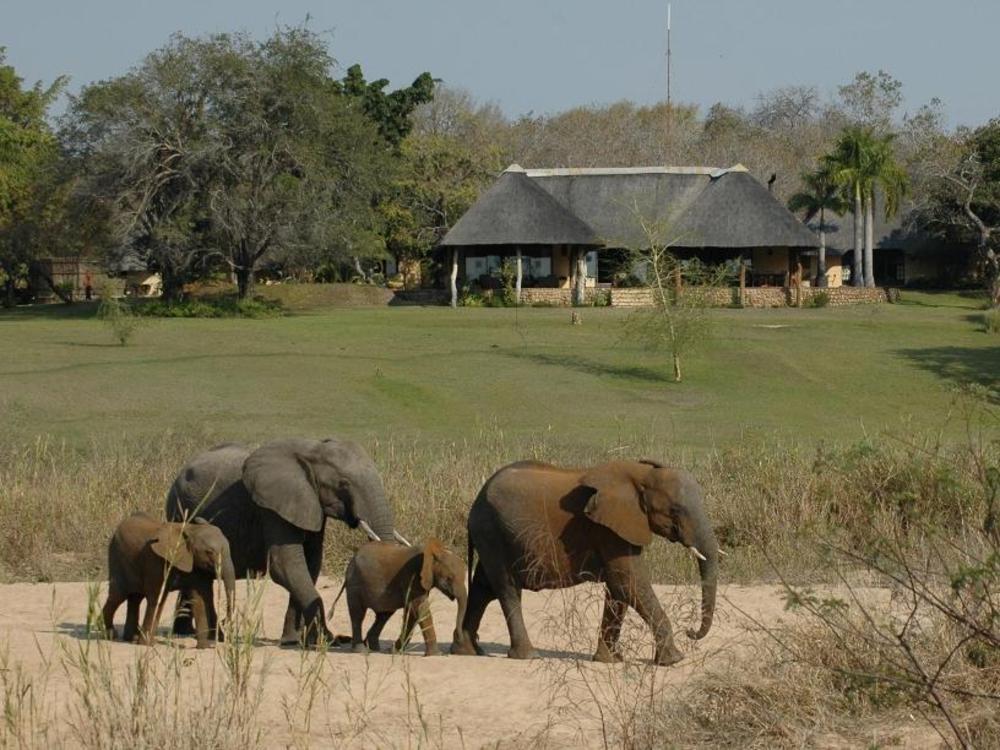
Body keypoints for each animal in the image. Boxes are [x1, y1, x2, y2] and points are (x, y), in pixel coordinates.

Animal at [102, 516, 235, 648]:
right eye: (209, 552)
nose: (223, 620)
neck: (190, 529)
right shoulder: (156, 560)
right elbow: (156, 598)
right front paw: (148, 644)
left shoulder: (195, 564)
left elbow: (199, 600)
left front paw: (206, 646)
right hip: (117, 559)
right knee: (118, 595)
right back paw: (111, 634)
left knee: (135, 598)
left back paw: (131, 638)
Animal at [166, 440, 396, 648]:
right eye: (344, 484)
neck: (310, 450)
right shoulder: (272, 507)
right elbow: (286, 565)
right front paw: (327, 640)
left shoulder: (310, 504)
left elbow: (310, 564)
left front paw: (292, 640)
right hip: (178, 508)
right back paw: (186, 634)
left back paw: (184, 632)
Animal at [340, 540, 468, 656]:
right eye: (449, 578)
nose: (459, 640)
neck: (433, 554)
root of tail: (352, 559)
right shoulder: (412, 578)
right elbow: (420, 609)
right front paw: (437, 655)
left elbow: (413, 612)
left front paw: (393, 651)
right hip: (354, 585)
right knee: (358, 615)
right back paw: (361, 651)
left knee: (383, 616)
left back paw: (375, 649)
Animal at [454, 462, 720, 668]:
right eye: (675, 510)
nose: (691, 632)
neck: (641, 474)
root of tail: (475, 503)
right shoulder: (607, 530)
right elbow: (627, 582)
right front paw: (674, 660)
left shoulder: (617, 528)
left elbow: (619, 590)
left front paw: (609, 660)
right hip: (493, 533)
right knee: (506, 588)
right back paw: (528, 656)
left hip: (491, 536)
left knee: (483, 588)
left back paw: (466, 650)